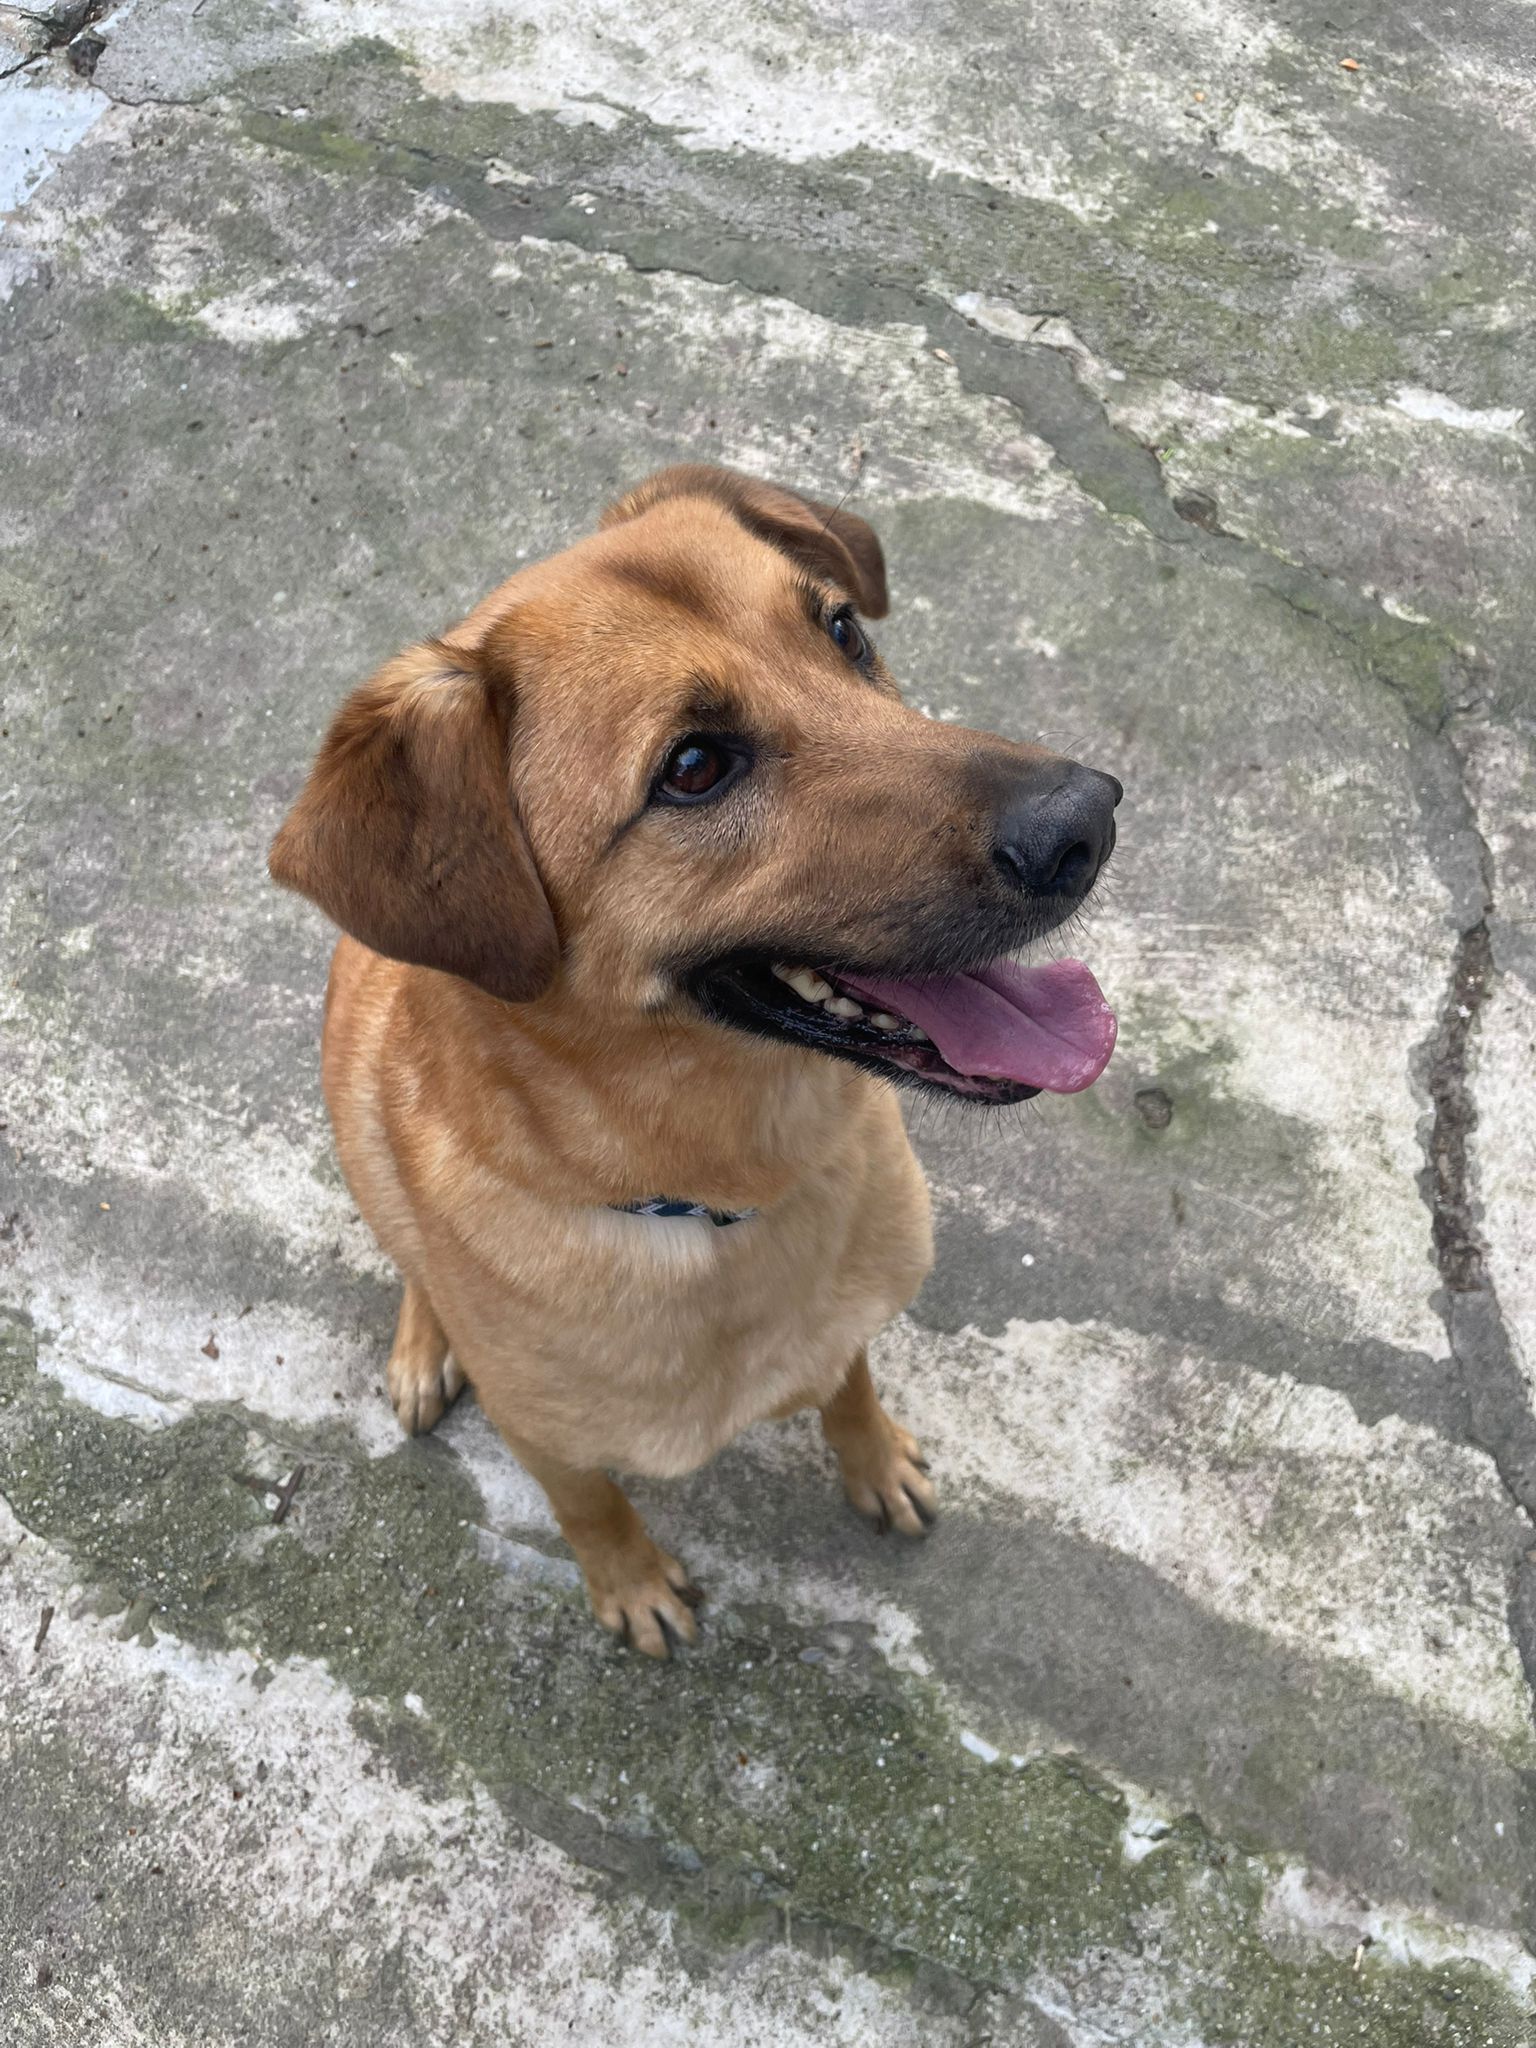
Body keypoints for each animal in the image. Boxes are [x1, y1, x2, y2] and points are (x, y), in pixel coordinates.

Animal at [269, 465, 1120, 1657]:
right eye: (695, 767)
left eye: (844, 631)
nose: (1087, 817)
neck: (718, 1196)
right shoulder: (551, 1439)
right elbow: (589, 1504)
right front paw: (628, 1578)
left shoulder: (842, 1325)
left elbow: (850, 1384)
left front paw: (873, 1457)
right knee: (412, 1261)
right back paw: (424, 1343)